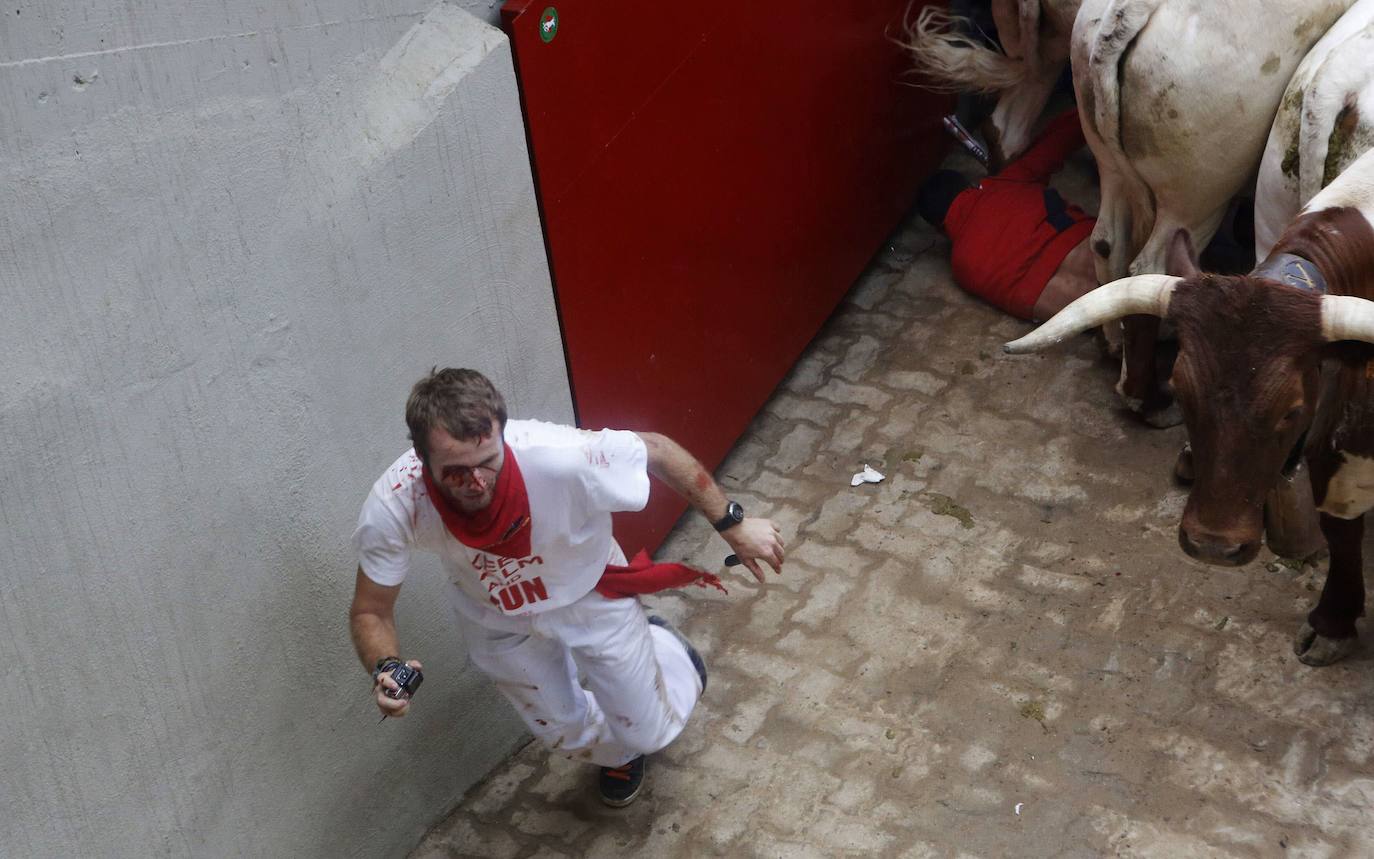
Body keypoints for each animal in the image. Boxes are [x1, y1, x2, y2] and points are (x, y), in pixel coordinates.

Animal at [1005, 149, 1374, 662]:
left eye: (1292, 409)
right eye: (1181, 389)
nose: (1214, 547)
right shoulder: (1340, 450)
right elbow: (1342, 526)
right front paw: (1334, 623)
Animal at [1071, 0, 1352, 426]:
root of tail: (1129, 10)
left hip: (1112, 165)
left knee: (1106, 242)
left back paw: (1112, 343)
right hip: (1199, 196)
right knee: (1149, 269)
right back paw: (1149, 400)